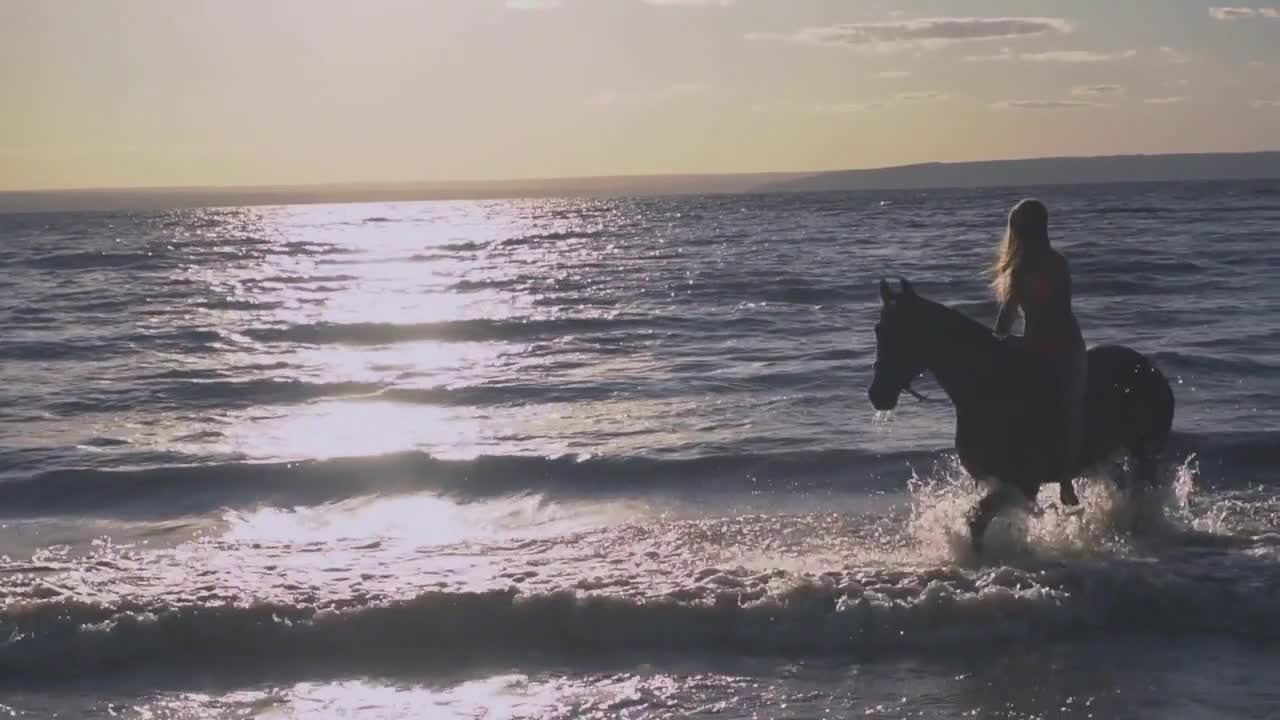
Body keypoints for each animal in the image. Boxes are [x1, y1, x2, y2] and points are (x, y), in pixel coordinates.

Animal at [865, 278, 1172, 545]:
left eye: (907, 330)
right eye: (879, 329)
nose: (878, 394)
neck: (990, 387)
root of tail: (1150, 368)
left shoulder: (1022, 482)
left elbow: (976, 519)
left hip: (1144, 453)